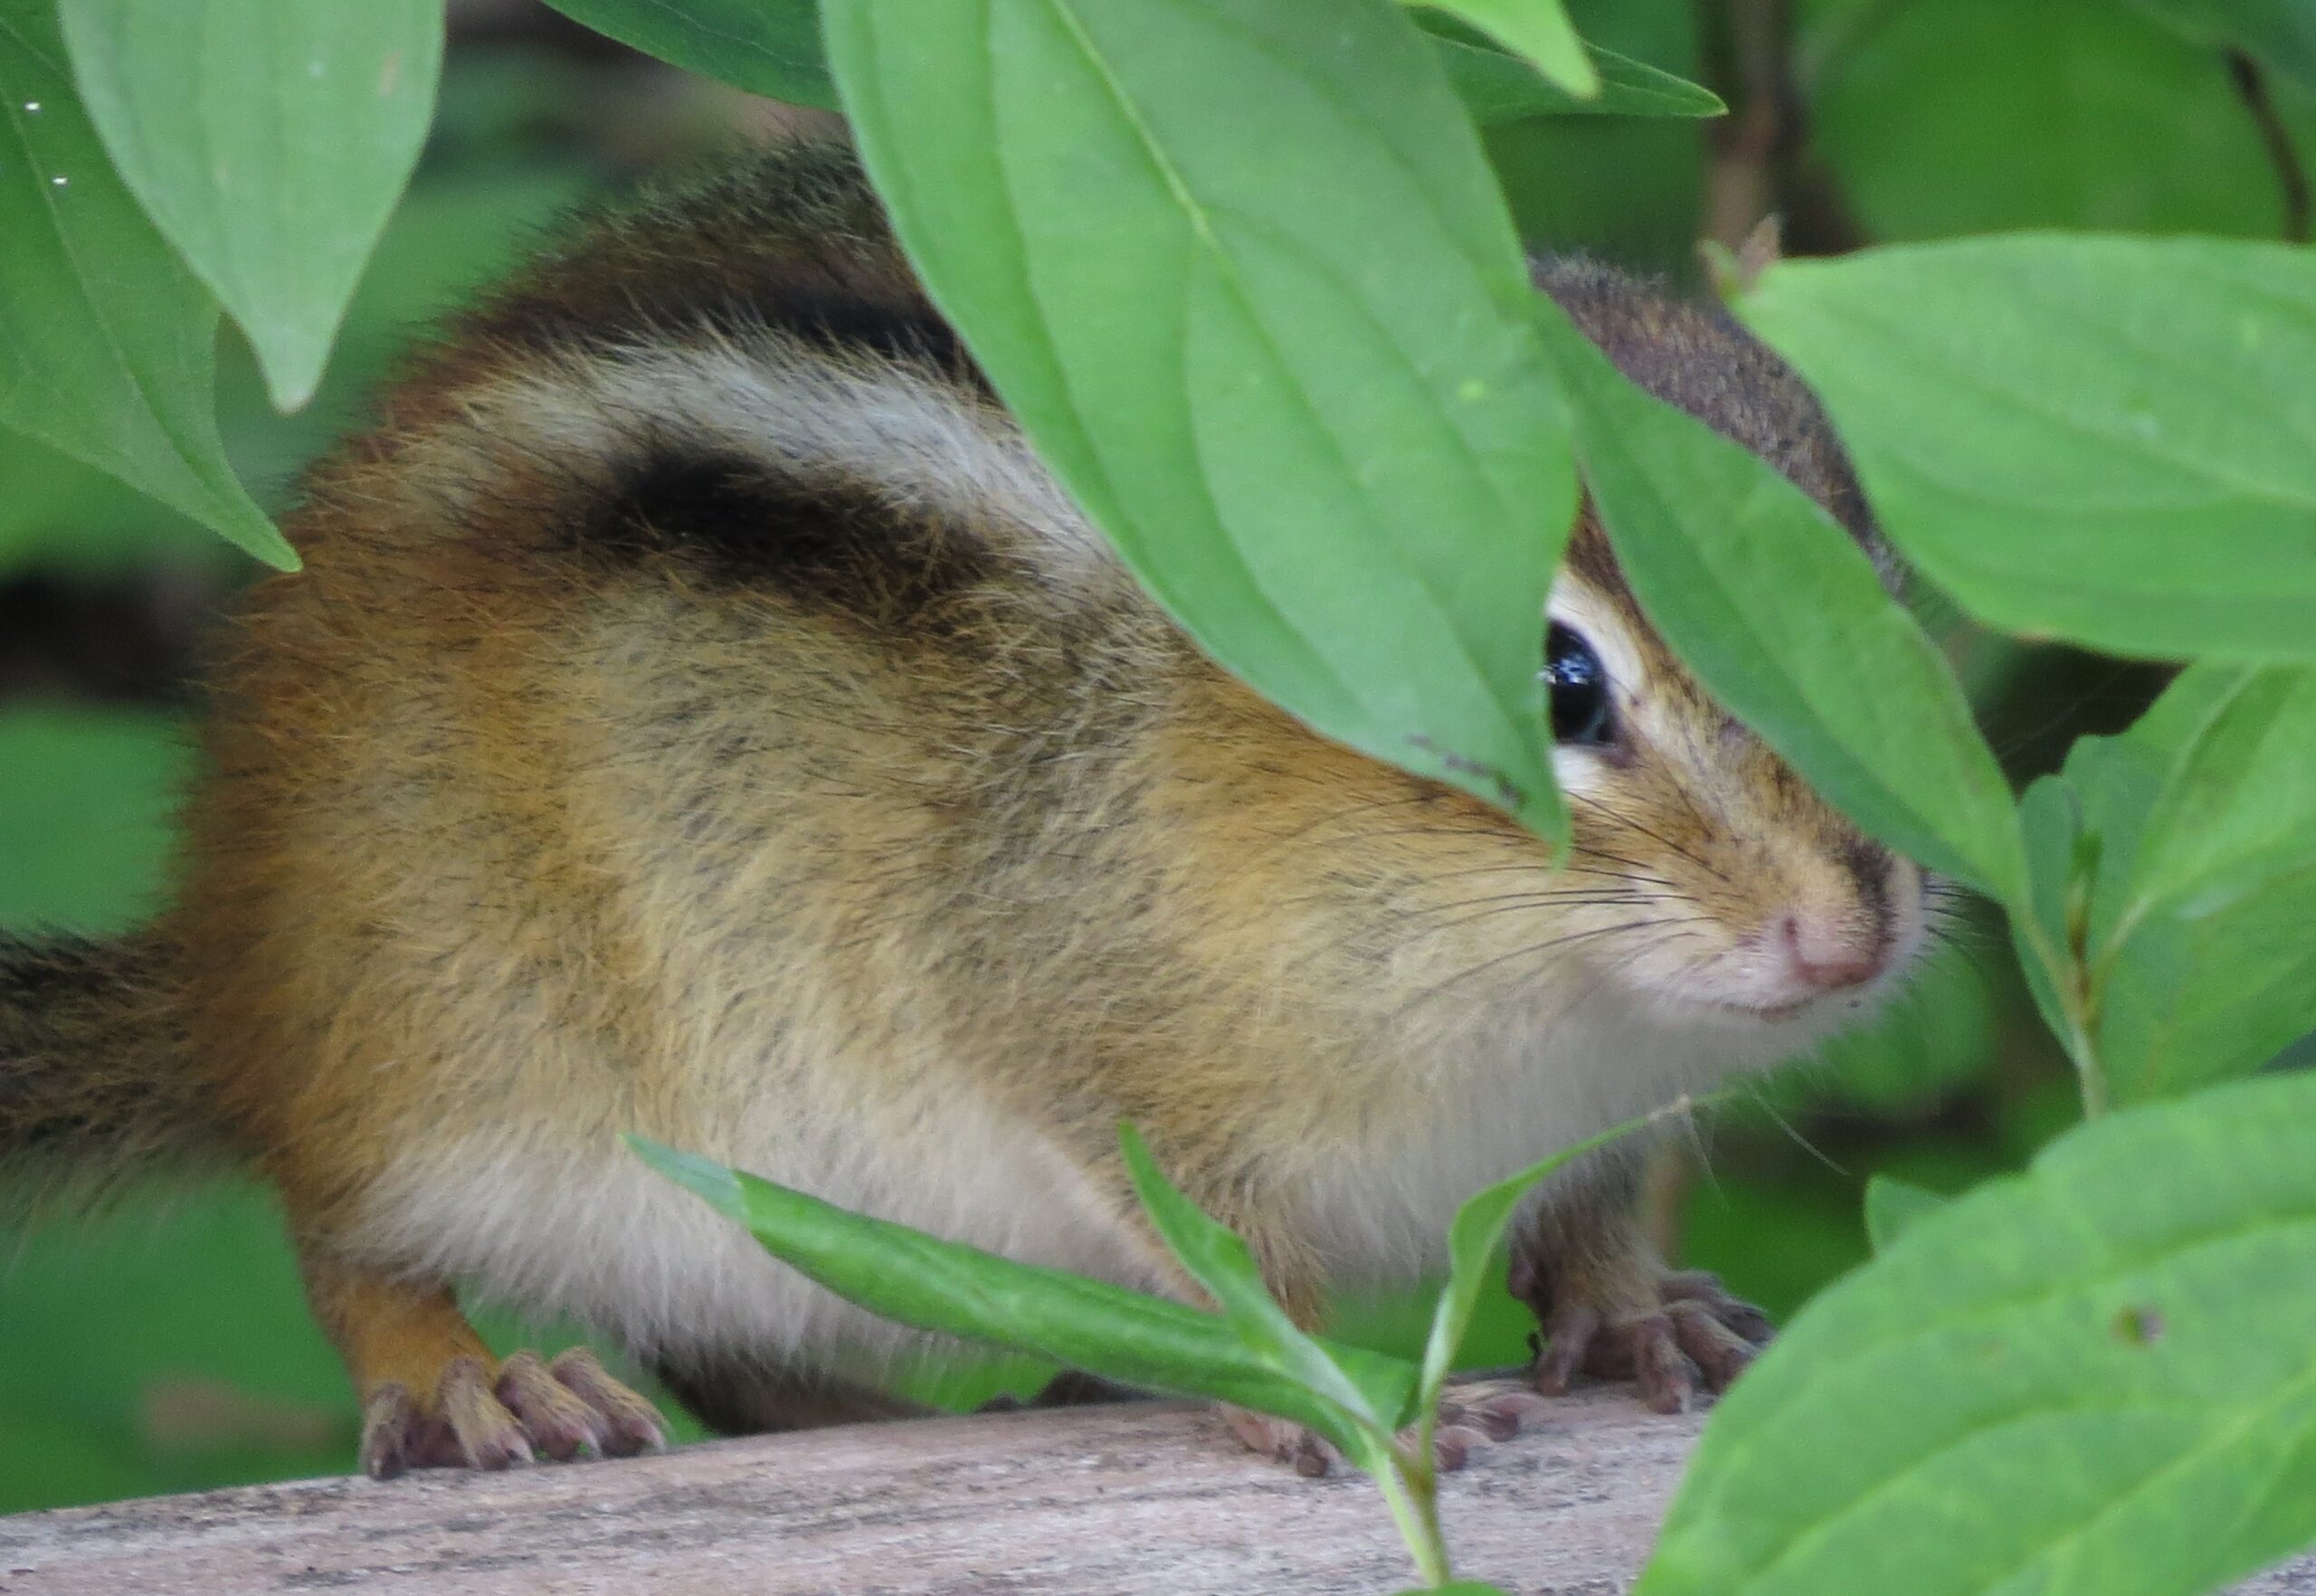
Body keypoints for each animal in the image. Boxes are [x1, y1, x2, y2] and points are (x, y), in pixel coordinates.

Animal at [0, 139, 1927, 1479]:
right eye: (1559, 685)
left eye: (1879, 598)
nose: (1850, 934)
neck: (1544, 1001)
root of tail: (230, 961)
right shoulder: (1084, 1040)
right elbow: (1220, 1252)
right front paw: (1330, 1393)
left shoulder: (1597, 1109)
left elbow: (1591, 1209)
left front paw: (1633, 1304)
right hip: (452, 1044)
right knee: (348, 1237)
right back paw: (468, 1370)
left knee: (715, 1340)